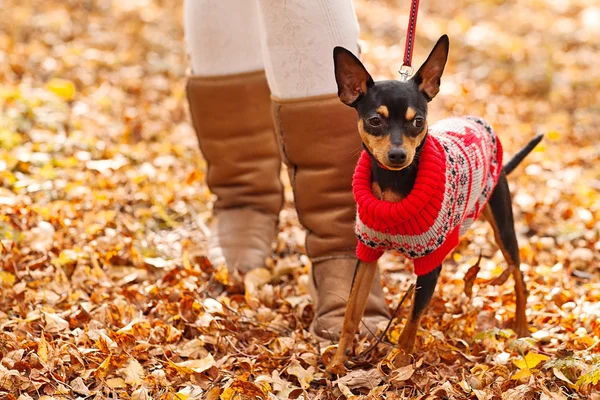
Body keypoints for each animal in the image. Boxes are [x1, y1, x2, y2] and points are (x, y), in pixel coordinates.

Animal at [328, 36, 544, 374]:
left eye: (418, 122)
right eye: (374, 121)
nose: (398, 155)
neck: (394, 187)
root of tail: (479, 123)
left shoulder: (430, 265)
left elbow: (410, 325)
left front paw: (401, 366)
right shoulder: (367, 252)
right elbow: (351, 313)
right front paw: (337, 363)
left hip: (503, 224)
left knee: (519, 274)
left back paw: (521, 326)